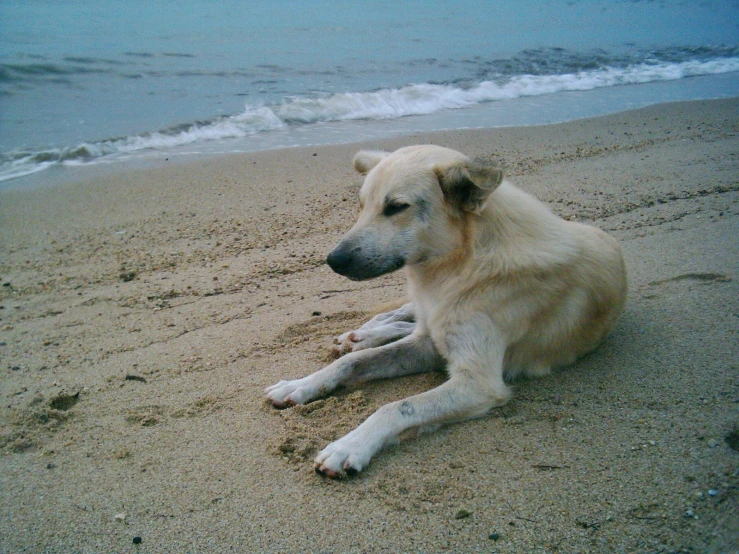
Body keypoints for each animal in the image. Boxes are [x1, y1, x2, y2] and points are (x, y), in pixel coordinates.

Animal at [264, 144, 624, 476]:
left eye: (396, 207)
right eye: (362, 205)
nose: (333, 261)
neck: (463, 262)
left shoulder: (477, 382)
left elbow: (396, 407)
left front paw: (350, 445)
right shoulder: (428, 345)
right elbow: (352, 363)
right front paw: (300, 385)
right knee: (402, 316)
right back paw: (362, 334)